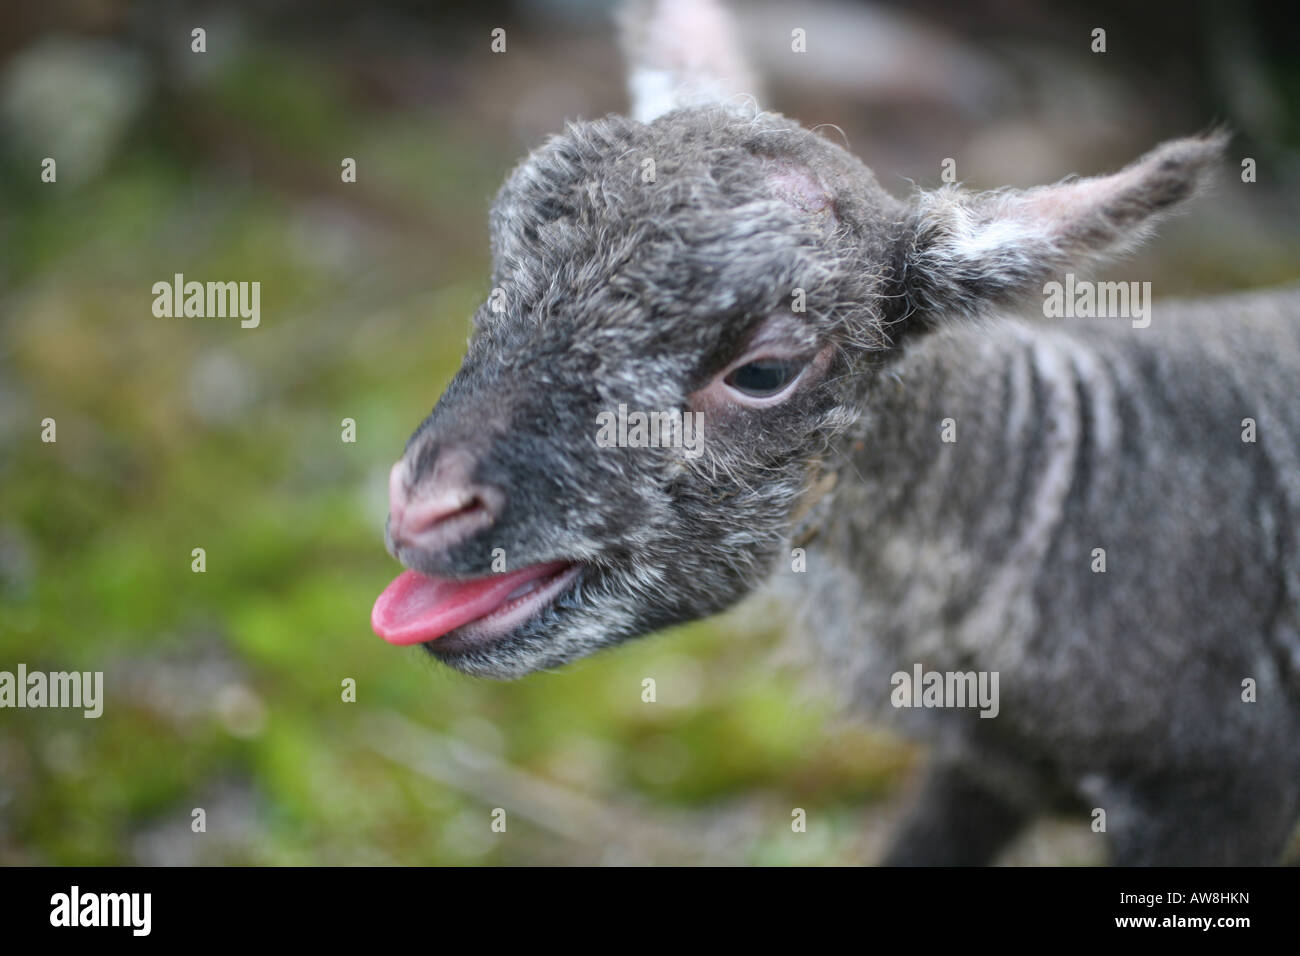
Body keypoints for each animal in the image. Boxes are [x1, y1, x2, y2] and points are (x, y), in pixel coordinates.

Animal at [366, 1, 1300, 868]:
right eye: (500, 276)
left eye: (765, 371)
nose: (424, 507)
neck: (1055, 488)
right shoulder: (987, 774)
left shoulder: (1219, 795)